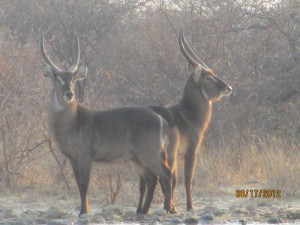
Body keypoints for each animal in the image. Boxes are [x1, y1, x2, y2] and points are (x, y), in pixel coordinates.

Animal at [40, 34, 175, 215]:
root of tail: (162, 121)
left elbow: (84, 184)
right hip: (138, 158)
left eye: (73, 79)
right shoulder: (73, 159)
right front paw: (83, 210)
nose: (69, 94)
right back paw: (144, 210)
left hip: (150, 154)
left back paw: (166, 208)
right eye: (58, 78)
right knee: (152, 178)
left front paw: (84, 211)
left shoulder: (85, 157)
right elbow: (78, 184)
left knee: (166, 174)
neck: (73, 121)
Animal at [139, 29, 233, 212]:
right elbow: (187, 179)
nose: (228, 88)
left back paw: (143, 210)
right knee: (162, 178)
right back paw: (166, 208)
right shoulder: (191, 152)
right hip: (166, 154)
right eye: (208, 76)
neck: (188, 113)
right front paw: (190, 207)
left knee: (146, 180)